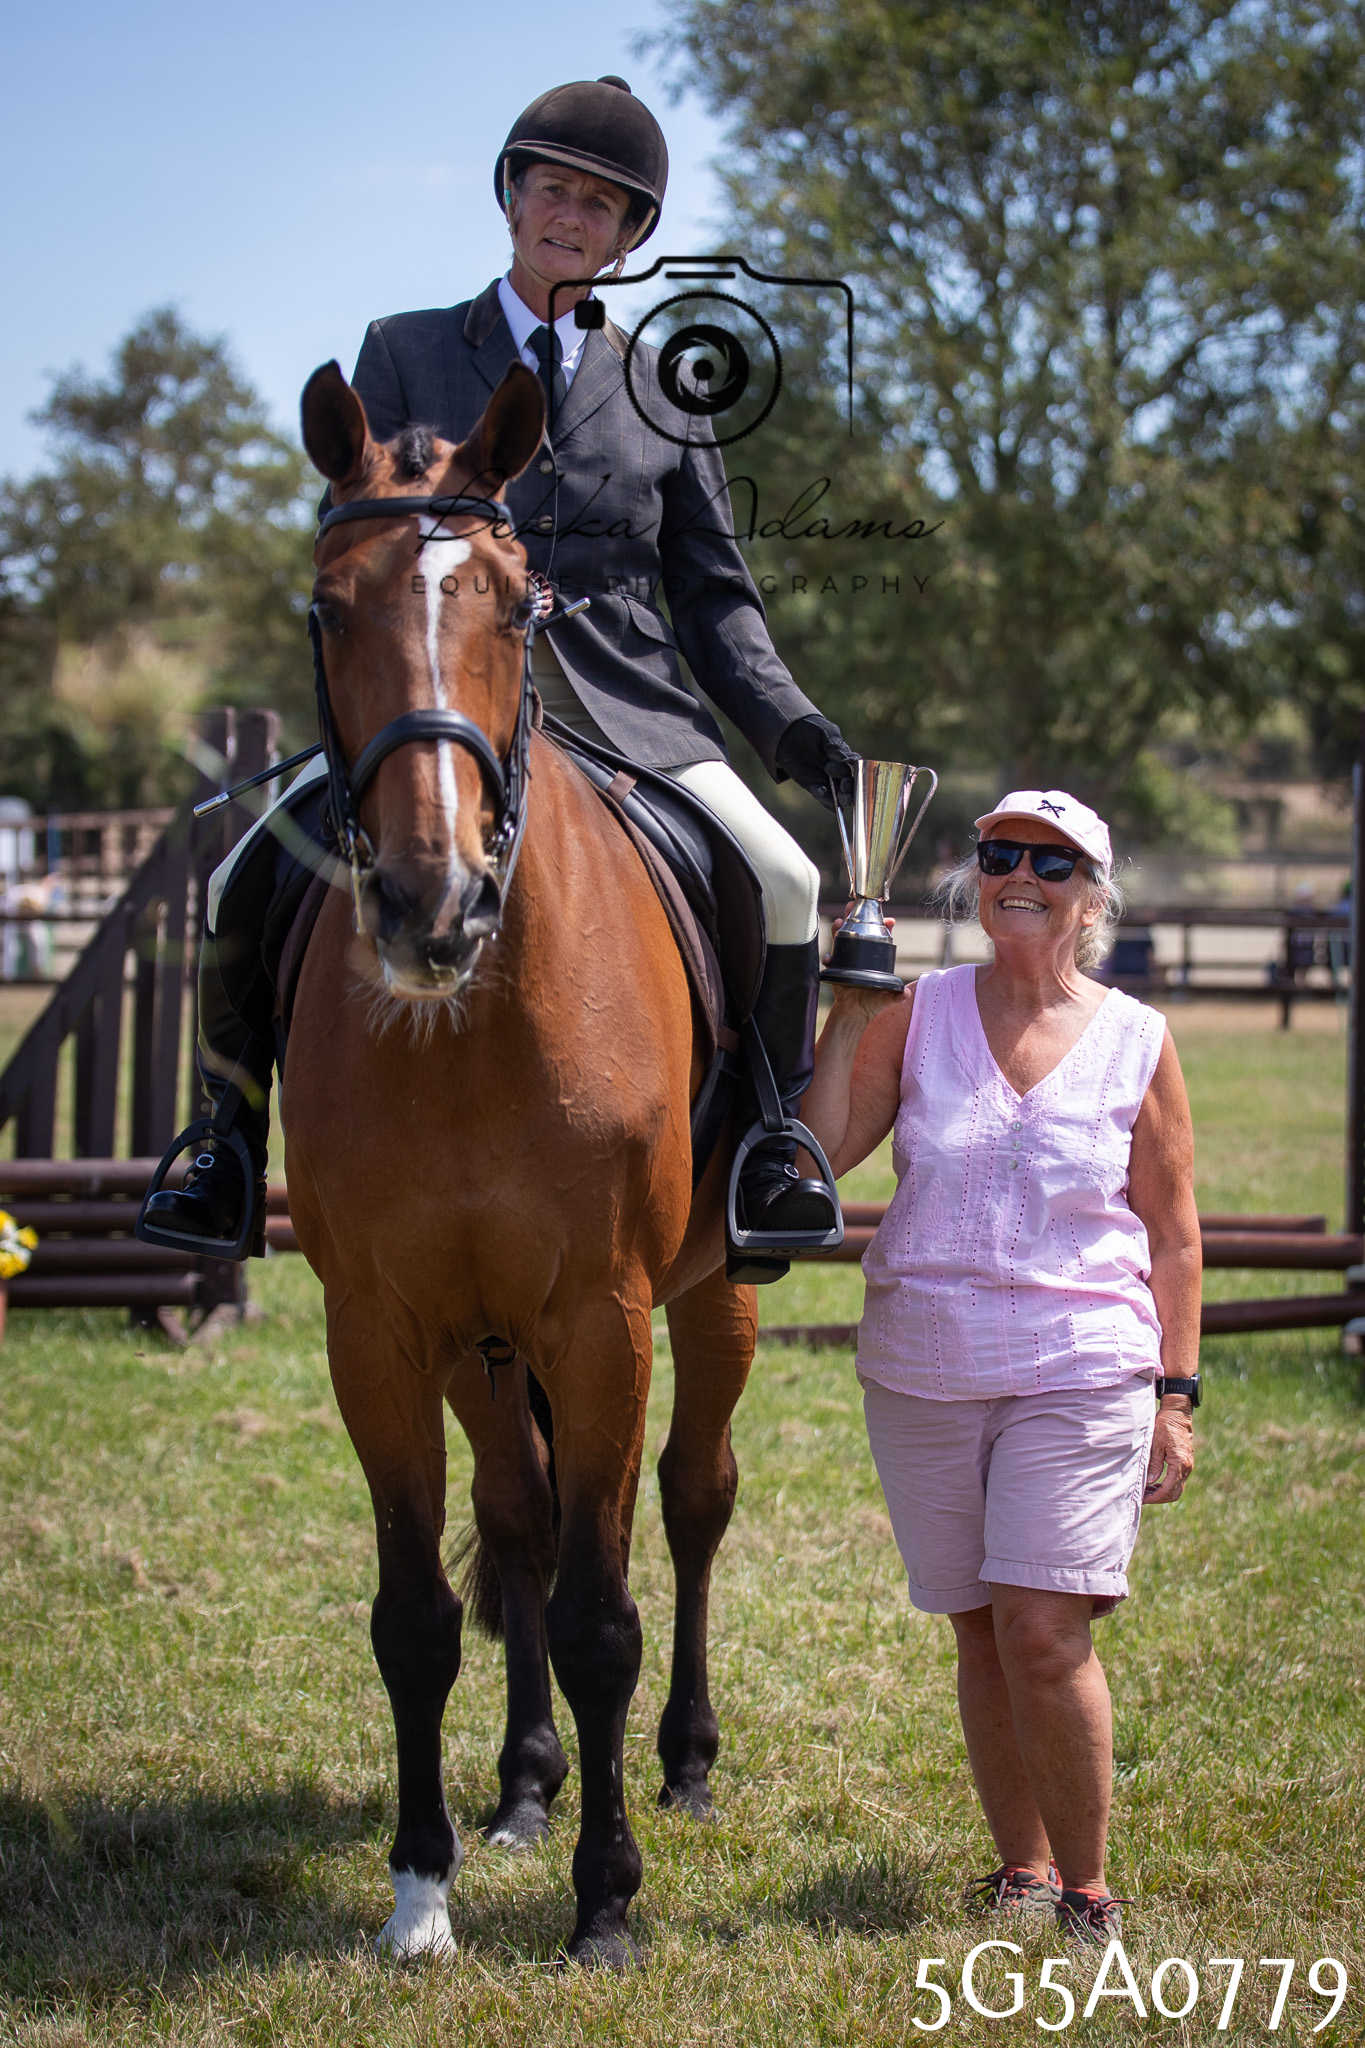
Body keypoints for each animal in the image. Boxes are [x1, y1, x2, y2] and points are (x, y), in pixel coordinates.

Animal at [284, 358, 758, 1968]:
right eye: (328, 610)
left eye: (514, 607)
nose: (435, 905)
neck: (470, 1023)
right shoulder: (379, 1330)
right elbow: (419, 1612)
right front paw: (420, 1888)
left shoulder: (602, 1318)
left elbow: (604, 1617)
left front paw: (607, 1902)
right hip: (481, 1351)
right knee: (525, 1521)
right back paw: (524, 1786)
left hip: (712, 1291)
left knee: (690, 1497)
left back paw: (682, 1763)